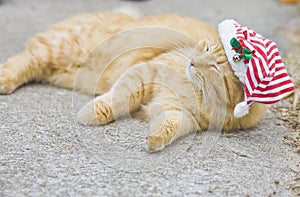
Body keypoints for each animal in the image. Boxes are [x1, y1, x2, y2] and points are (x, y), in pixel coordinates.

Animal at [0, 11, 268, 152]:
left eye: (213, 66)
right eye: (205, 48)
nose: (192, 62)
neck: (196, 93)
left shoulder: (184, 115)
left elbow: (169, 126)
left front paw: (154, 140)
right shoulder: (146, 71)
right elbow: (117, 99)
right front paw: (90, 114)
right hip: (62, 51)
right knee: (26, 59)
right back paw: (4, 80)